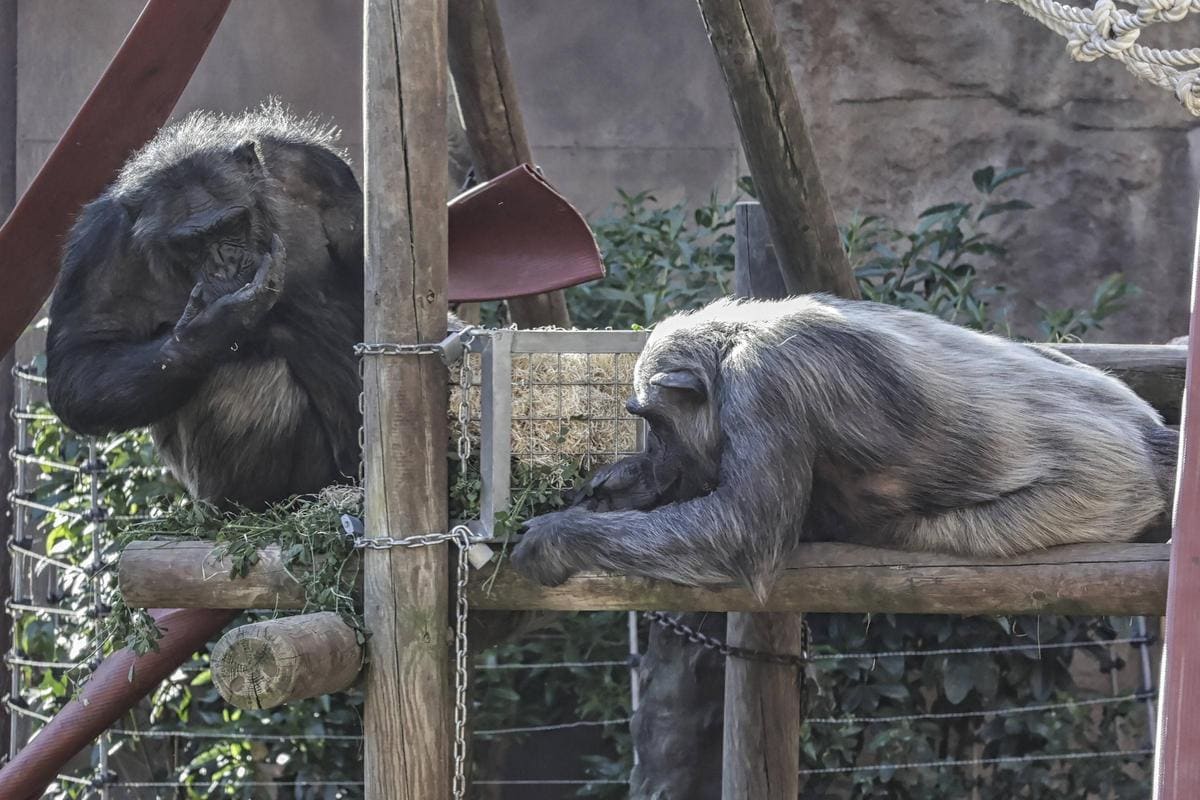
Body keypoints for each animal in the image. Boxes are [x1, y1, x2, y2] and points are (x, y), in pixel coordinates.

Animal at [45, 104, 364, 506]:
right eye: (193, 242)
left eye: (232, 223)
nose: (226, 261)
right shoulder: (100, 248)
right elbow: (80, 364)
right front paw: (217, 326)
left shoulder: (318, 172)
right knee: (250, 370)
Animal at [511, 297, 1176, 597]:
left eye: (657, 421)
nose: (659, 456)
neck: (734, 350)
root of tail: (1156, 436)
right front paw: (623, 482)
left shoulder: (764, 387)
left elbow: (737, 531)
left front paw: (558, 536)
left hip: (1095, 496)